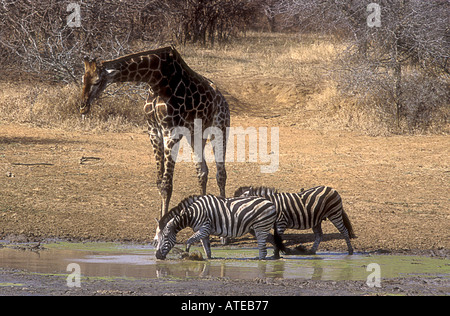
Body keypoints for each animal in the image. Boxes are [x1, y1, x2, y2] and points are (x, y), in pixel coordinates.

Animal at [80, 46, 229, 220]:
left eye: (97, 81)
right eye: (83, 79)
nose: (83, 106)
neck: (156, 81)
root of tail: (223, 99)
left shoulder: (171, 132)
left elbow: (166, 184)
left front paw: (163, 223)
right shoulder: (153, 131)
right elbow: (159, 182)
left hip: (220, 129)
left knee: (221, 173)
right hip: (196, 135)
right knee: (202, 171)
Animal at [153, 195, 284, 260]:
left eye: (165, 236)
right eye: (156, 240)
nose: (157, 256)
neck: (192, 213)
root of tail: (272, 203)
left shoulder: (204, 228)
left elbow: (189, 240)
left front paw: (186, 253)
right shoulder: (204, 232)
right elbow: (207, 249)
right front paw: (207, 259)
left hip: (260, 227)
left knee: (263, 250)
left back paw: (260, 260)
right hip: (260, 227)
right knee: (273, 240)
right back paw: (276, 256)